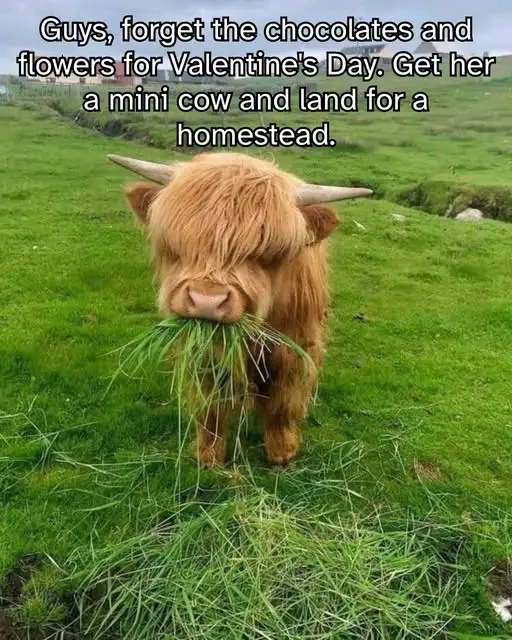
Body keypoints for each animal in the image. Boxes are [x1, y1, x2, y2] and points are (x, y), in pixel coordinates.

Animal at [108, 151, 372, 467]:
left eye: (268, 252)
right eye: (178, 244)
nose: (207, 301)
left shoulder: (295, 345)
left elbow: (284, 399)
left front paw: (282, 450)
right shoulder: (206, 352)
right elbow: (211, 403)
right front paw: (208, 454)